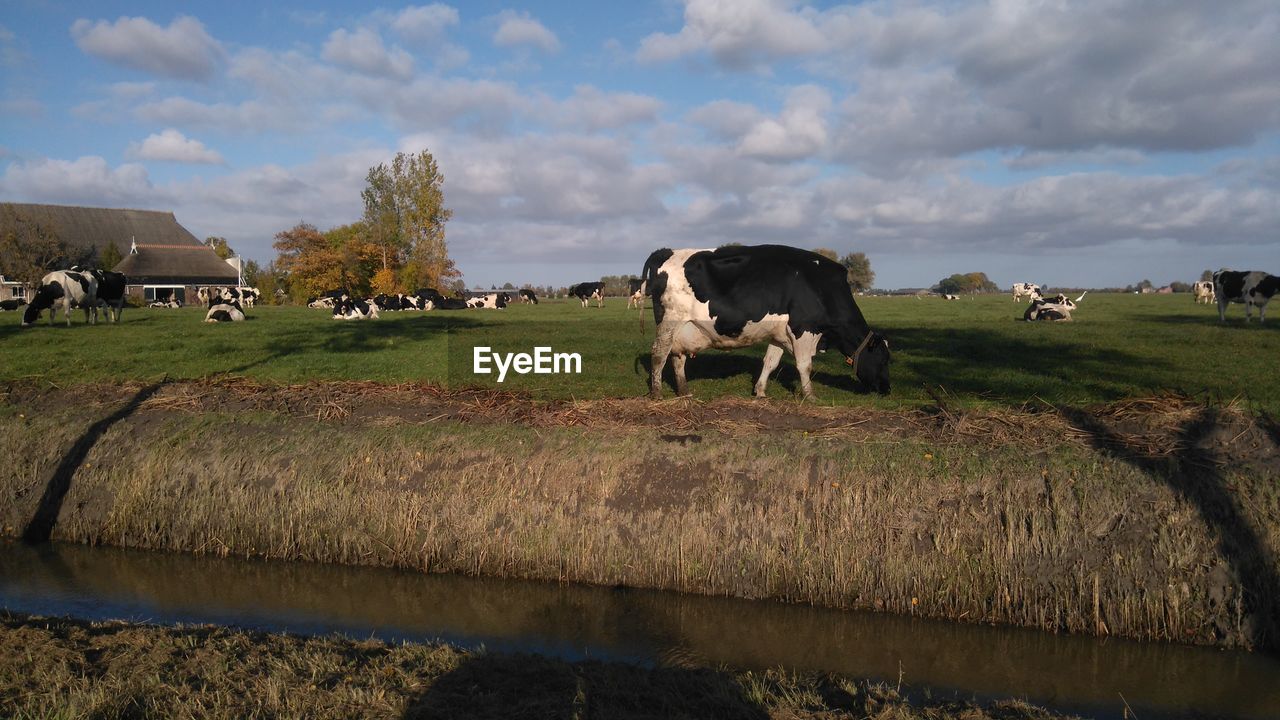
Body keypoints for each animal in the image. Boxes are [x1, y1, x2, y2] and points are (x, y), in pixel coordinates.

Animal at [640, 242, 890, 397]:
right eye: (883, 360)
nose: (887, 390)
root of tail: (665, 251)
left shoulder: (779, 333)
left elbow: (770, 362)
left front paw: (760, 391)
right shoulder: (803, 329)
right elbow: (804, 365)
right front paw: (809, 395)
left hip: (683, 328)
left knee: (677, 357)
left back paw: (684, 391)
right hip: (670, 322)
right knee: (659, 354)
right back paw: (657, 393)